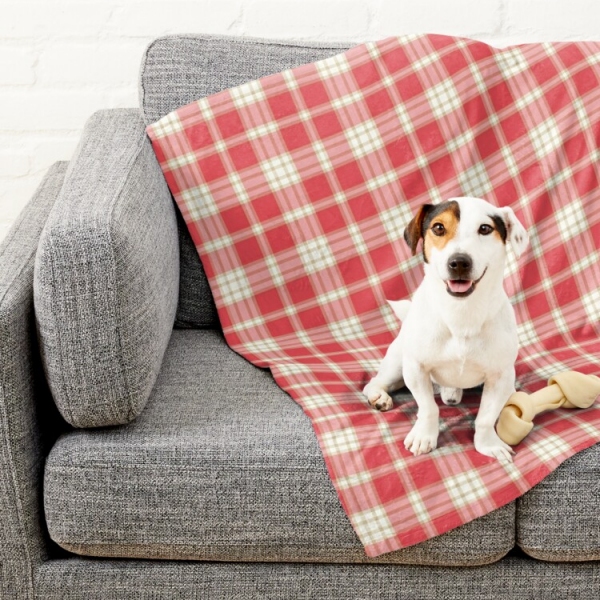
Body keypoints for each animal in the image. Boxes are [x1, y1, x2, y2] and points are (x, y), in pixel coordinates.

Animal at [364, 197, 528, 464]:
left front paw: (488, 444)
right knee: (374, 382)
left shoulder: (500, 376)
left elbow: (485, 417)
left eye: (485, 228)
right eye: (439, 228)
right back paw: (379, 396)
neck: (461, 314)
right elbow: (428, 408)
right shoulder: (416, 368)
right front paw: (424, 437)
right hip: (397, 364)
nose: (459, 262)